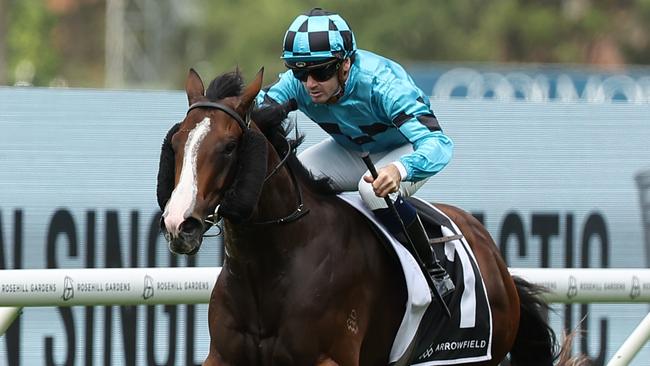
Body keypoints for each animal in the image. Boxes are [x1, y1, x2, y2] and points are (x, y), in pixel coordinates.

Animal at [156, 68, 556, 366]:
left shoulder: (330, 358)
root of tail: (494, 256)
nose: (179, 223)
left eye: (228, 147)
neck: (272, 264)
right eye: (176, 143)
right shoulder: (223, 356)